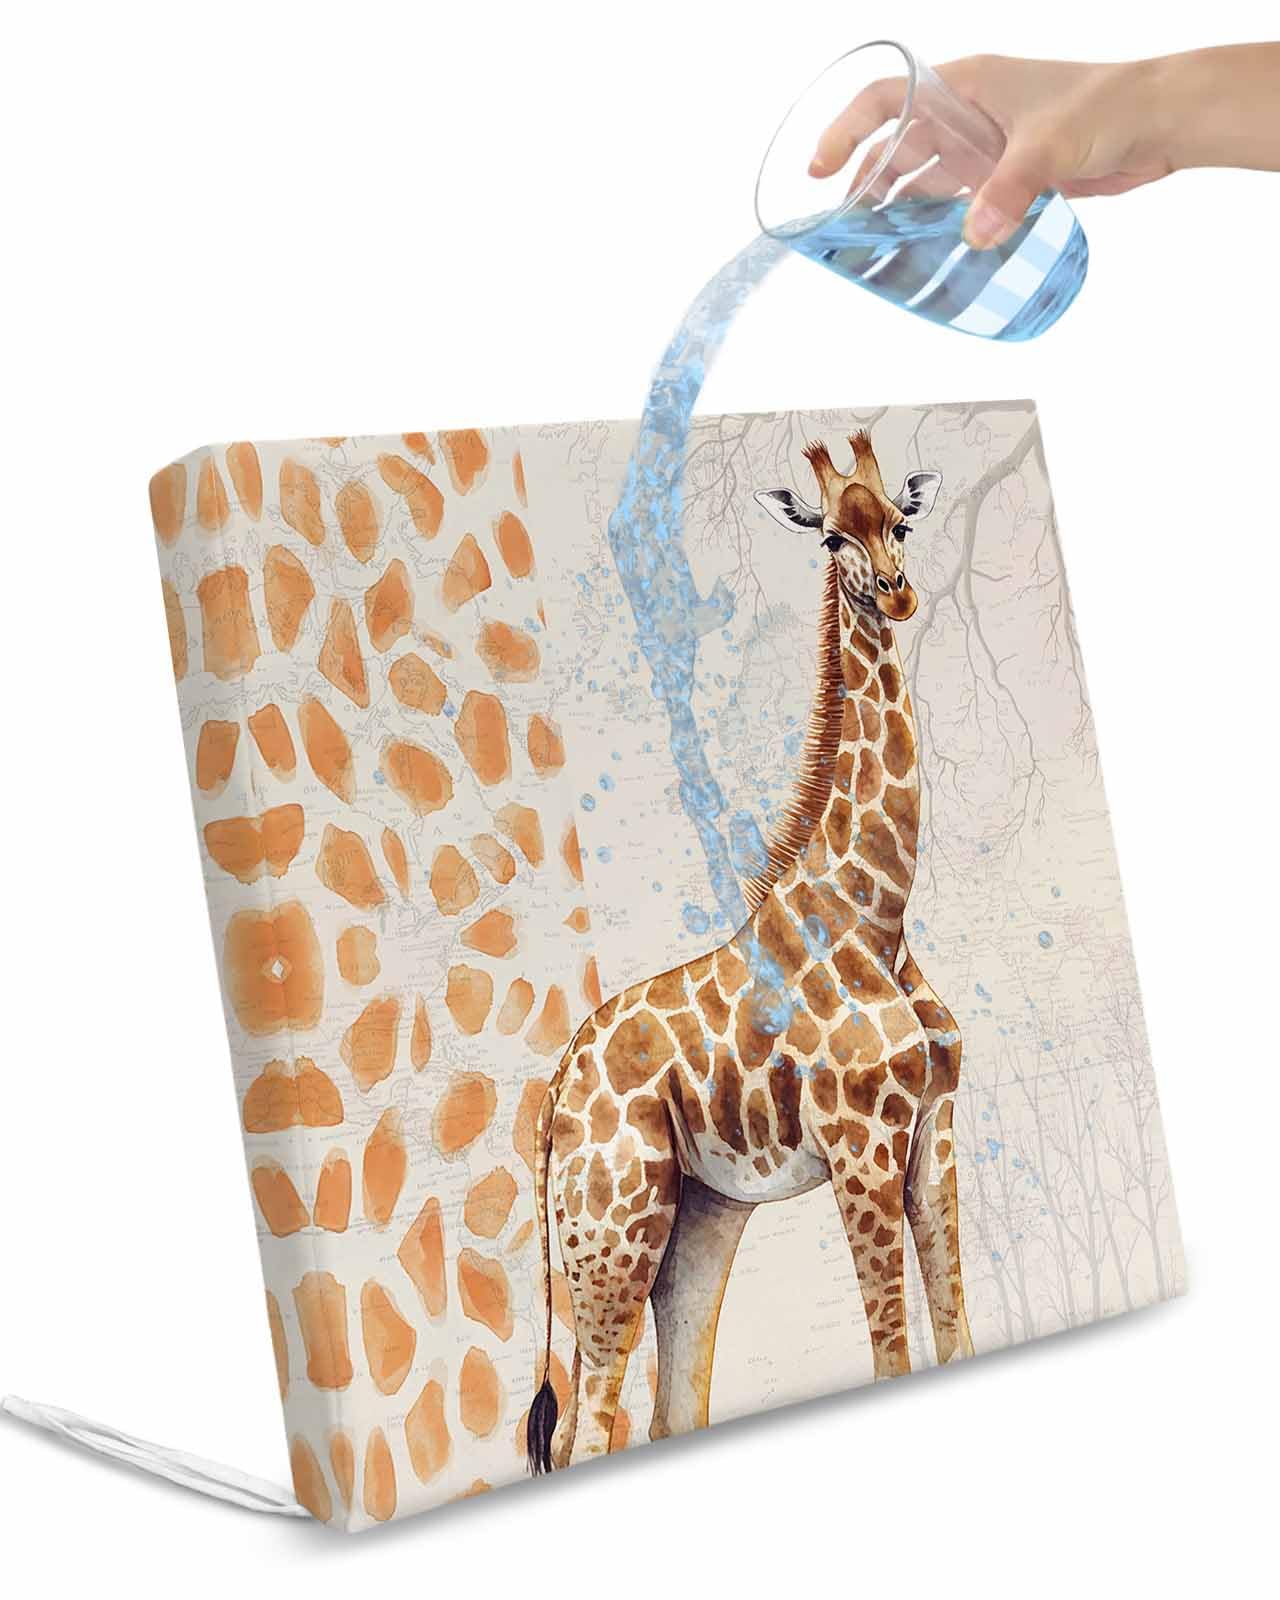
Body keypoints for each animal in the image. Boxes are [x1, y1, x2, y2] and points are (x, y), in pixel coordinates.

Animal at [527, 429, 974, 1473]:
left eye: (899, 521)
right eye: (830, 539)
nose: (897, 592)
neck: (877, 912)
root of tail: (556, 1092)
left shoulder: (934, 1131)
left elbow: (954, 1325)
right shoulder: (861, 1143)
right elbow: (892, 1345)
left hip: (696, 1222)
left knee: (665, 1405)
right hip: (612, 1227)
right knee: (591, 1420)